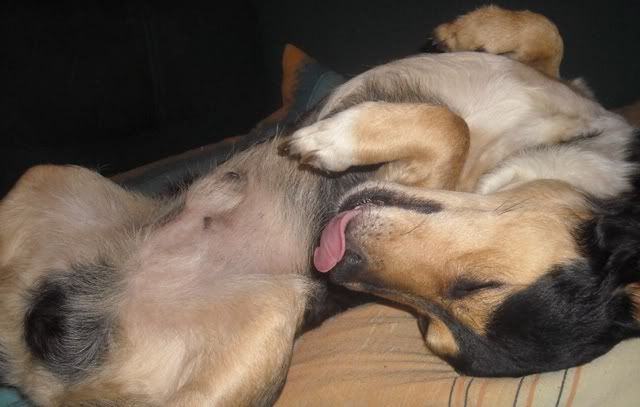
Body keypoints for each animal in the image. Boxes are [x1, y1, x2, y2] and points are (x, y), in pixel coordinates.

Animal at [0, 5, 638, 405]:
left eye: (433, 323)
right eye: (481, 284)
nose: (337, 263)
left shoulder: (409, 175)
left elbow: (447, 124)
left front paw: (331, 141)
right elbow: (546, 34)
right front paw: (464, 32)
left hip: (273, 319)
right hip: (49, 177)